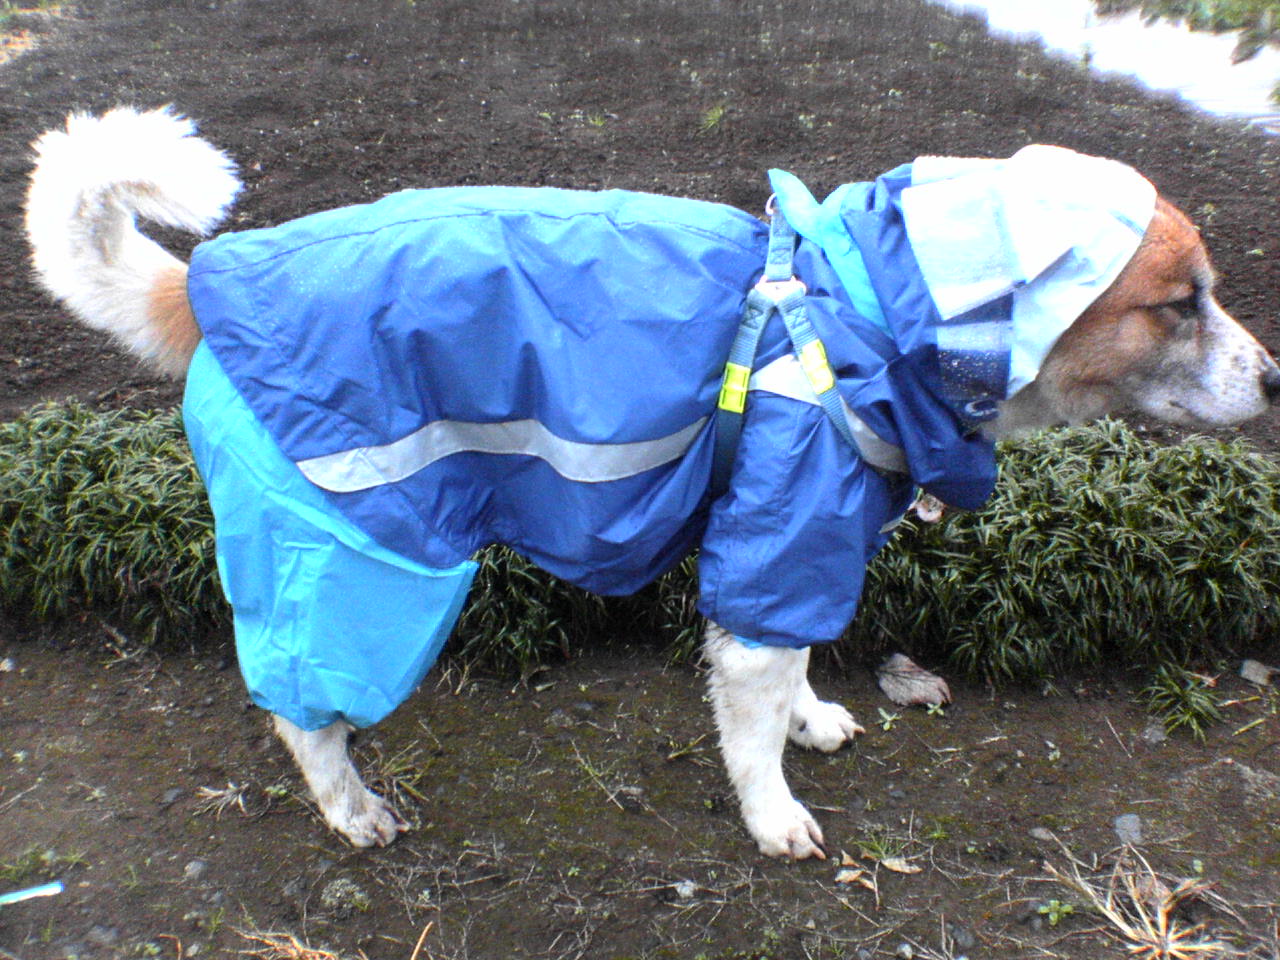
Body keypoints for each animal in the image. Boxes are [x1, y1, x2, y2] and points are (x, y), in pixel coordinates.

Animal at [22, 108, 1280, 860]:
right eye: (1179, 303)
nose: (1274, 378)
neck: (857, 313)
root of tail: (204, 289)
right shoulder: (773, 551)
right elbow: (751, 721)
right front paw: (774, 815)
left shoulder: (790, 551)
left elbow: (795, 674)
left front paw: (815, 721)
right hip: (359, 560)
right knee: (300, 709)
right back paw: (348, 806)